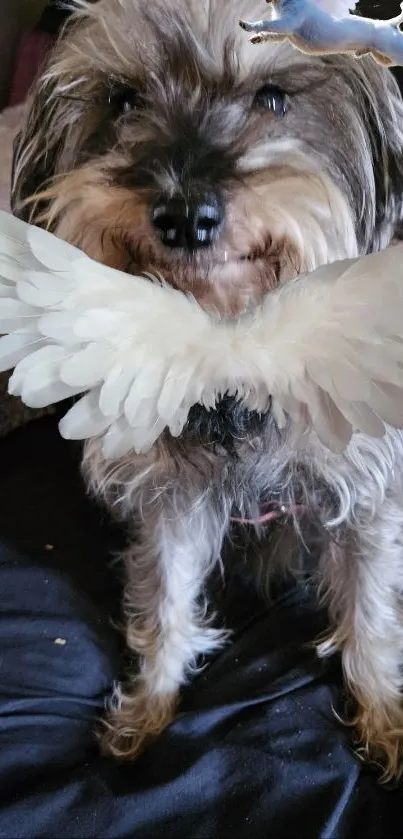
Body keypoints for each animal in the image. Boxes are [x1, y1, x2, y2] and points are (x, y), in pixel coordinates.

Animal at [9, 0, 403, 780]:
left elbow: (371, 608)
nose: (183, 216)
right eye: (124, 101)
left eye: (274, 98)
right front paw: (147, 709)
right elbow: (165, 598)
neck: (229, 342)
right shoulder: (168, 496)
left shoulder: (370, 488)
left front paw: (383, 713)